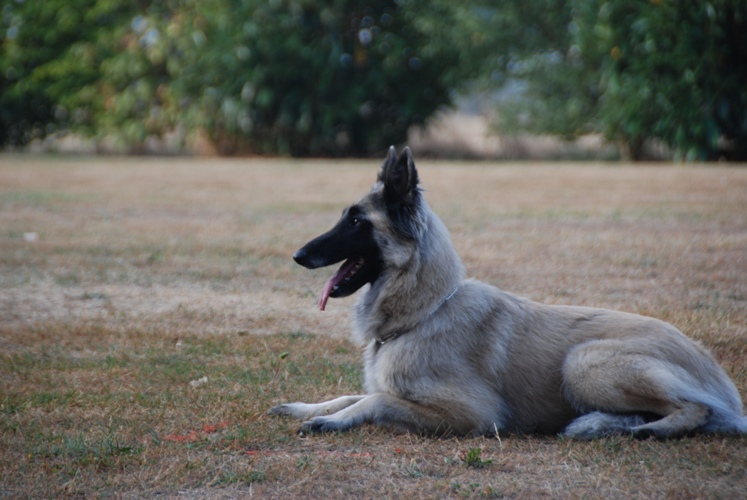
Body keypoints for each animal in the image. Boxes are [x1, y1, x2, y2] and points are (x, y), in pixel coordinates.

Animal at [268, 146, 747, 438]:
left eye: (355, 221)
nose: (297, 255)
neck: (427, 311)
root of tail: (710, 365)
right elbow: (353, 393)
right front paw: (309, 408)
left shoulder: (471, 414)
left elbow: (377, 399)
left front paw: (331, 421)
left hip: (584, 361)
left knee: (697, 409)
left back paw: (649, 429)